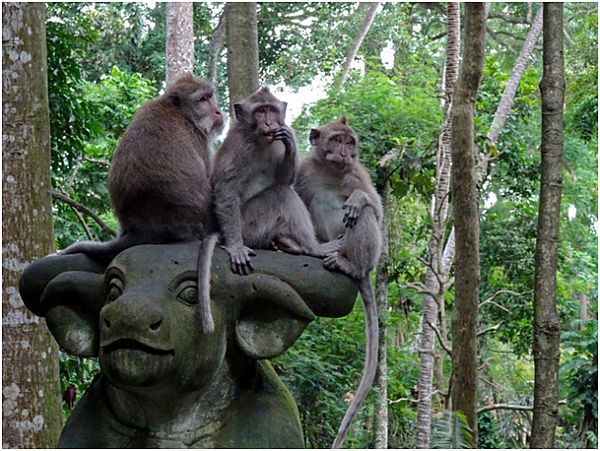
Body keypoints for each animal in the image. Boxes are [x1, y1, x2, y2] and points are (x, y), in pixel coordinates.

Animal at [62, 74, 224, 334]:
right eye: (203, 100)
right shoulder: (199, 139)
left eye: (211, 96)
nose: (218, 112)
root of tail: (143, 230)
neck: (178, 112)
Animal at [211, 85, 342, 276]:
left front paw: (290, 144)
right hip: (248, 226)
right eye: (260, 111)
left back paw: (287, 243)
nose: (268, 123)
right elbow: (227, 188)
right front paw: (235, 247)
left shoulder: (281, 135)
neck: (259, 139)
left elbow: (284, 178)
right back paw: (313, 248)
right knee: (282, 194)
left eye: (271, 110)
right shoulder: (239, 145)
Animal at [292, 116, 382, 448]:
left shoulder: (359, 173)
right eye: (336, 139)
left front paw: (357, 199)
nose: (344, 152)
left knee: (364, 216)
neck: (331, 170)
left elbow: (375, 209)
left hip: (362, 254)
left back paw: (349, 265)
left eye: (349, 141)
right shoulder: (304, 169)